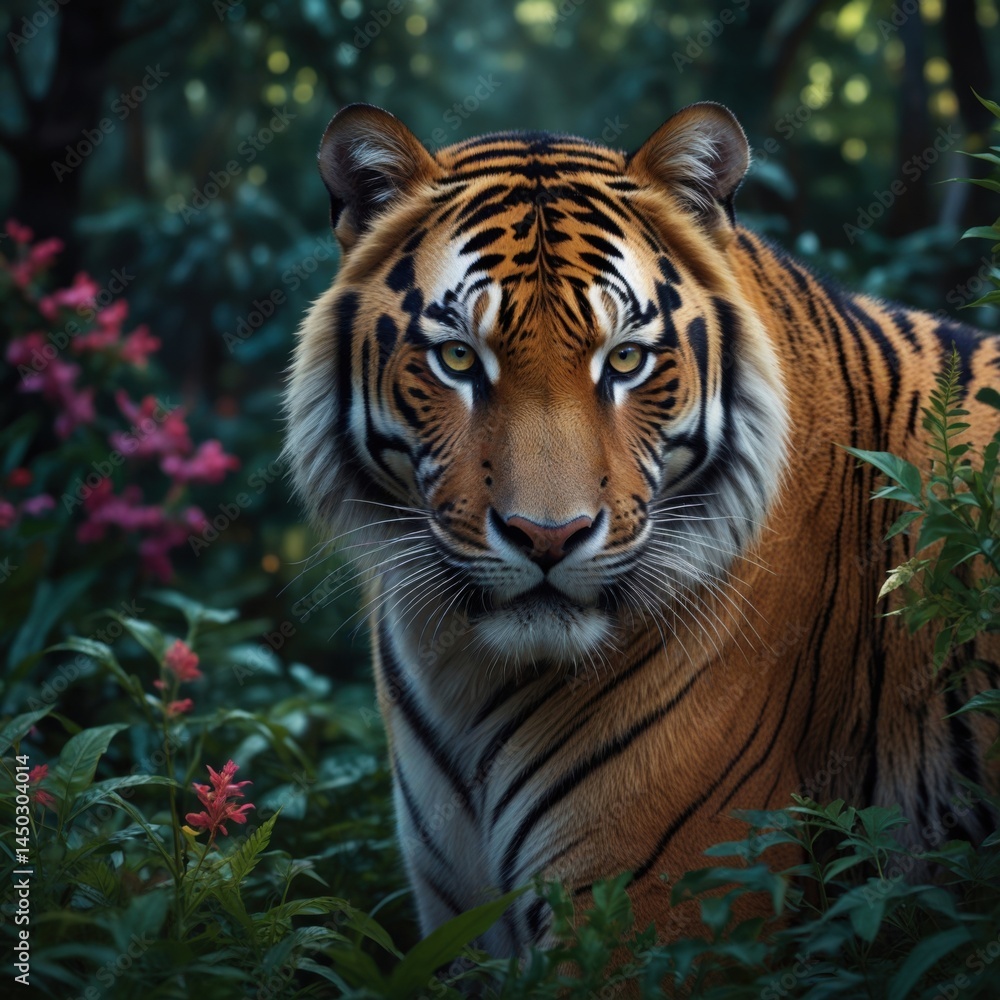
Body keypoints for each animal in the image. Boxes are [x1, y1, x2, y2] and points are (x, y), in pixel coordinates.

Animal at [284, 101, 1000, 953]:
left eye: (625, 361)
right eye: (457, 359)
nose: (548, 537)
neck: (465, 669)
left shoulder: (662, 907)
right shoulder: (459, 916)